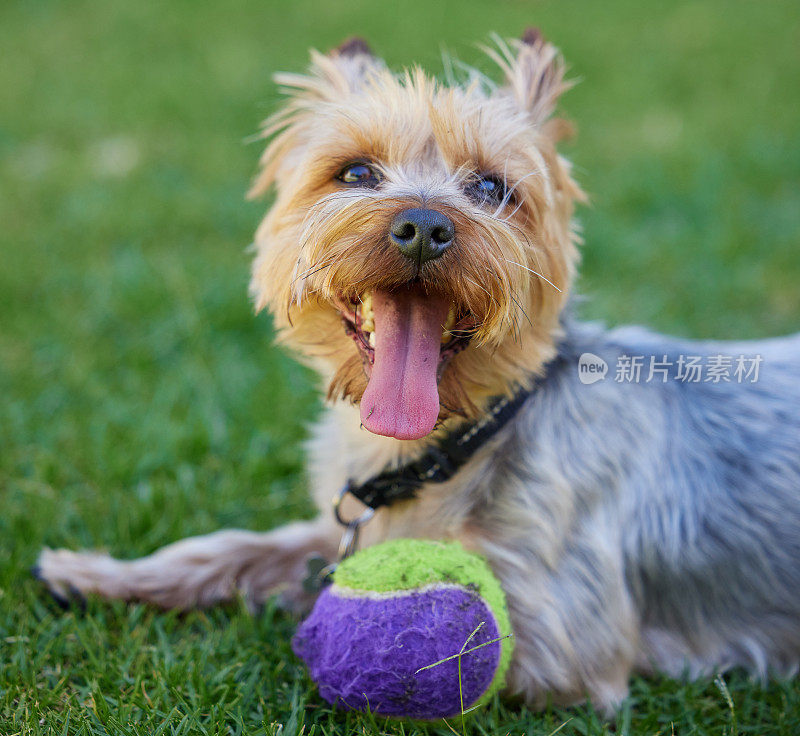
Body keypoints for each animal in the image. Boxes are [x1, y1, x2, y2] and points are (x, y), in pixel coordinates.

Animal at [34, 31, 796, 712]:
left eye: (491, 187)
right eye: (354, 173)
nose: (423, 226)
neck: (449, 447)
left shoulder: (567, 638)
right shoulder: (348, 526)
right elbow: (239, 547)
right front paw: (98, 573)